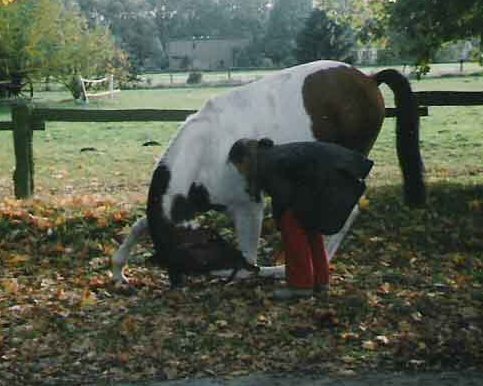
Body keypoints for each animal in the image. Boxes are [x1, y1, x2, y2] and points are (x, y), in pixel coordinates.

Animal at [111, 59, 426, 284]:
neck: (207, 150)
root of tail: (368, 79)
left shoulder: (249, 207)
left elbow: (249, 255)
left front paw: (256, 271)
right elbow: (140, 225)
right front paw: (118, 270)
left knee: (346, 214)